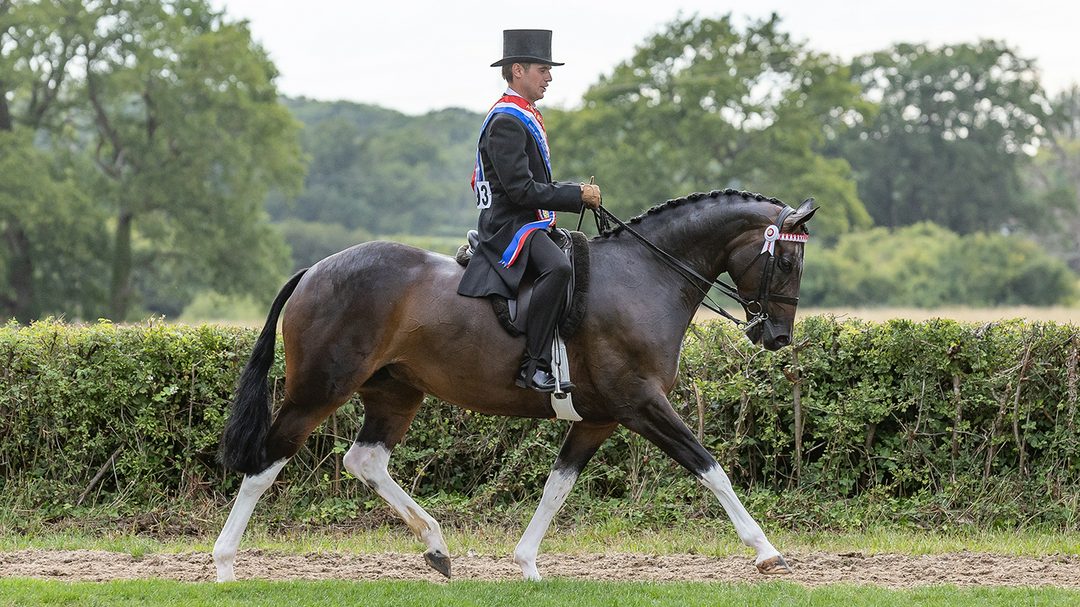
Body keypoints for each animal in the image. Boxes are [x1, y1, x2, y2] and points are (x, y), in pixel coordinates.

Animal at [212, 188, 817, 582]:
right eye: (787, 260)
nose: (777, 335)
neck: (644, 277)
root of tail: (315, 270)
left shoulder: (598, 418)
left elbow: (557, 486)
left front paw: (526, 563)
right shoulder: (642, 404)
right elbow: (709, 467)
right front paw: (767, 551)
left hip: (395, 392)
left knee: (365, 460)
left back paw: (436, 546)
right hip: (320, 390)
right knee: (267, 462)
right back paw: (224, 566)